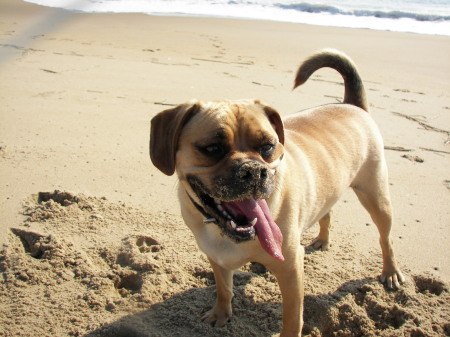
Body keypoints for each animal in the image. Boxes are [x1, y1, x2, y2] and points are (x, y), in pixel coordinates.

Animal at [149, 50, 404, 336]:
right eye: (212, 148)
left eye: (268, 146)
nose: (253, 170)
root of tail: (352, 105)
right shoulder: (216, 257)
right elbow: (224, 289)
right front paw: (221, 314)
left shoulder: (291, 269)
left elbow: (292, 318)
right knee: (326, 212)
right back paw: (321, 239)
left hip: (376, 197)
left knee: (385, 238)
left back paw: (390, 271)